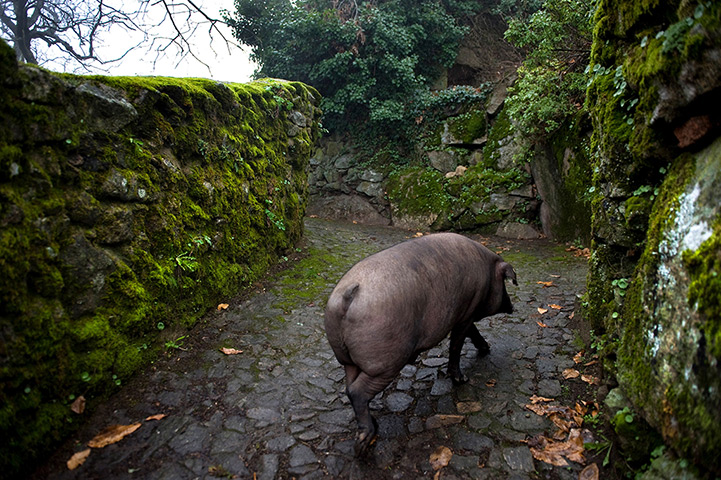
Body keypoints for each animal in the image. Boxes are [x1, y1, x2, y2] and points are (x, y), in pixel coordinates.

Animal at [324, 232, 516, 454]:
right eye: (504, 283)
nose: (512, 307)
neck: (487, 272)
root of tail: (347, 296)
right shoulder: (466, 313)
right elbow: (457, 344)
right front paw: (462, 379)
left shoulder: (465, 315)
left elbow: (473, 333)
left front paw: (486, 349)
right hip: (385, 363)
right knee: (357, 392)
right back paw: (363, 444)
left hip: (347, 360)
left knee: (349, 386)